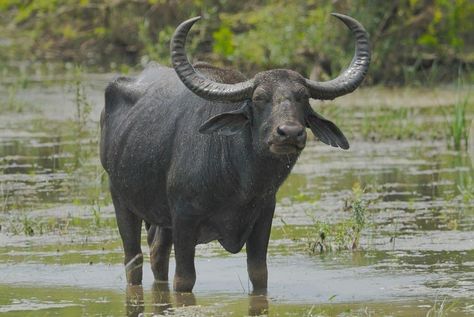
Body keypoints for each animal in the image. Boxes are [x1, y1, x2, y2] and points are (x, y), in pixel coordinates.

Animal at [100, 14, 370, 292]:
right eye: (259, 98)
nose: (290, 133)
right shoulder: (184, 219)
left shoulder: (263, 216)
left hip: (161, 220)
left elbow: (259, 274)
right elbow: (184, 279)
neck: (240, 182)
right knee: (134, 260)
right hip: (120, 199)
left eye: (303, 98)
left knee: (157, 254)